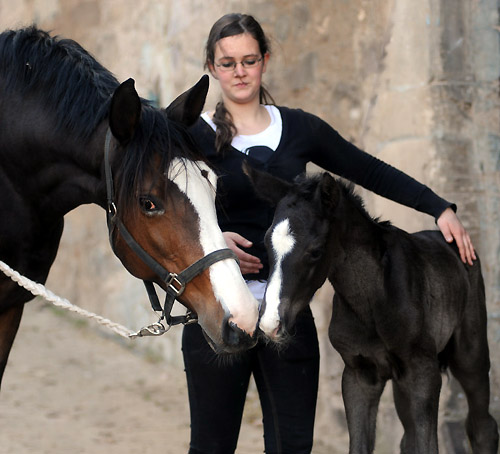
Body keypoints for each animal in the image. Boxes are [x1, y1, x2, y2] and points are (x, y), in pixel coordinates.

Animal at [247, 166, 500, 454]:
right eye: (266, 243)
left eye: (315, 251)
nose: (270, 323)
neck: (373, 302)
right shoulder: (359, 374)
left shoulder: (423, 372)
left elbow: (429, 445)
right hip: (402, 381)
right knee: (408, 437)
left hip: (470, 356)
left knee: (482, 427)